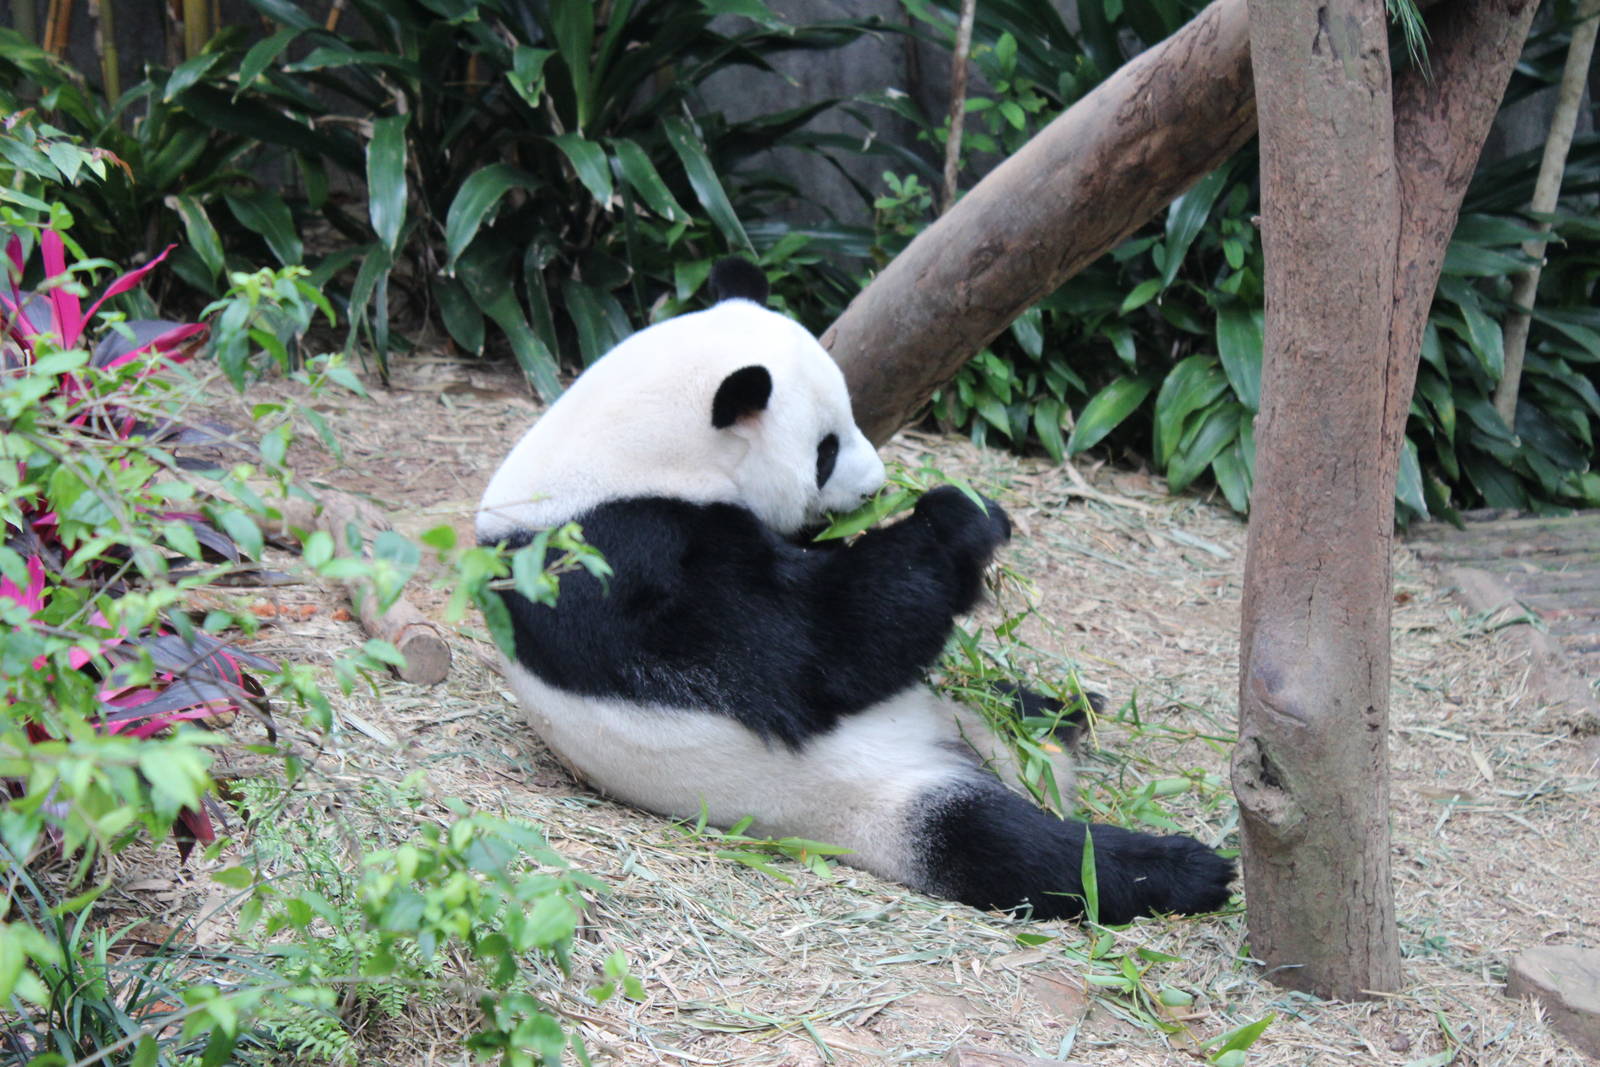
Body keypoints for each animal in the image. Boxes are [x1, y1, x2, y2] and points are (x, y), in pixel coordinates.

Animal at [476, 259, 1233, 924]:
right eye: (826, 450)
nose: (875, 487)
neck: (614, 457)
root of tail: (967, 748)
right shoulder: (616, 564)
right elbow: (812, 653)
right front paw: (959, 518)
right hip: (874, 800)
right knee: (1009, 849)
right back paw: (1182, 868)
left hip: (943, 712)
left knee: (998, 702)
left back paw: (1070, 710)